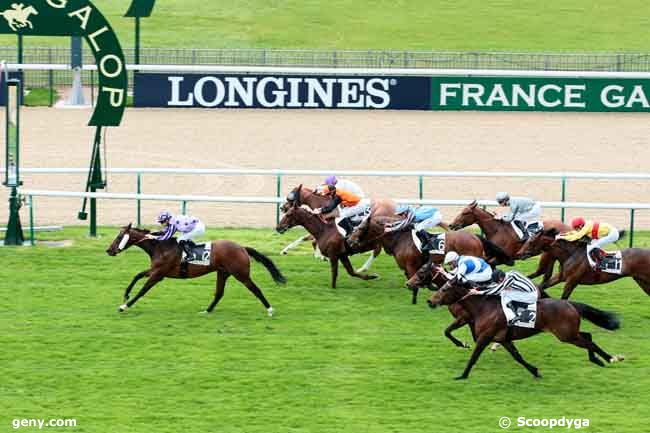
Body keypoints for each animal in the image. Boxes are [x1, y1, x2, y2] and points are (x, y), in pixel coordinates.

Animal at [105, 223, 284, 314]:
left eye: (119, 237)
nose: (109, 250)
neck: (161, 247)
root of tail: (242, 248)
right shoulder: (155, 270)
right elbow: (136, 276)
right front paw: (126, 295)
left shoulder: (158, 274)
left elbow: (143, 290)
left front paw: (124, 306)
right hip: (223, 272)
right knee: (219, 293)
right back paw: (207, 311)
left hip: (241, 274)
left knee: (256, 289)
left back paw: (270, 309)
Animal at [344, 213, 486, 304]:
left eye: (361, 227)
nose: (349, 240)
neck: (399, 239)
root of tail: (476, 238)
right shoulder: (409, 268)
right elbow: (415, 282)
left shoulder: (411, 266)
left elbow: (414, 285)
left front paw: (415, 300)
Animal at [426, 266, 624, 378]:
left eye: (444, 290)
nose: (430, 301)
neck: (483, 308)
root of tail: (570, 304)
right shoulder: (504, 339)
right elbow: (518, 357)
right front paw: (535, 371)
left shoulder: (485, 337)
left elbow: (473, 357)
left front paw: (462, 375)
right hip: (569, 333)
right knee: (588, 336)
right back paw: (598, 359)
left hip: (566, 335)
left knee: (589, 342)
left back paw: (611, 357)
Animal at [512, 228, 644, 298]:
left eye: (531, 242)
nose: (519, 253)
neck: (570, 255)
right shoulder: (561, 277)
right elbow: (541, 286)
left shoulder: (571, 281)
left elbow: (563, 298)